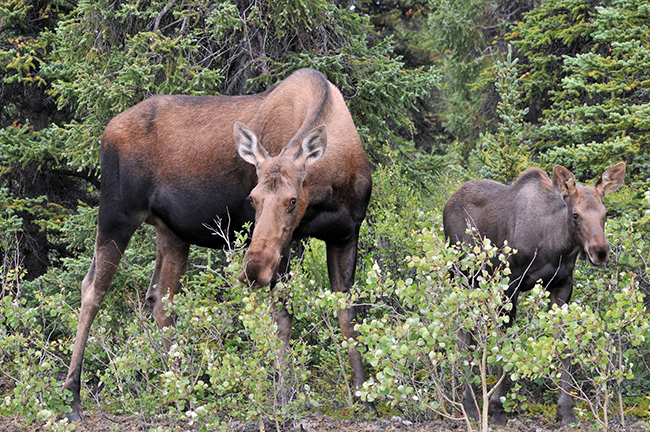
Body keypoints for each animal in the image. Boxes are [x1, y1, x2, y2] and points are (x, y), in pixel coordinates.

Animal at [64, 69, 374, 420]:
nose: (253, 269)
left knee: (159, 298)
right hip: (116, 213)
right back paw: (73, 398)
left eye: (293, 200)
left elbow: (348, 316)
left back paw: (182, 396)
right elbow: (283, 318)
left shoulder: (346, 233)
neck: (330, 187)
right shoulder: (289, 244)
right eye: (253, 198)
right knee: (93, 289)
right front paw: (284, 398)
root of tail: (106, 131)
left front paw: (363, 396)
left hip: (172, 232)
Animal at [440, 162, 624, 426]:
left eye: (605, 213)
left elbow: (563, 346)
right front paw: (497, 409)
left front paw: (566, 410)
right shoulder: (510, 284)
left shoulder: (562, 285)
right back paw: (470, 405)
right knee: (462, 336)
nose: (600, 252)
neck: (555, 246)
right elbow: (505, 346)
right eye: (575, 214)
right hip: (461, 274)